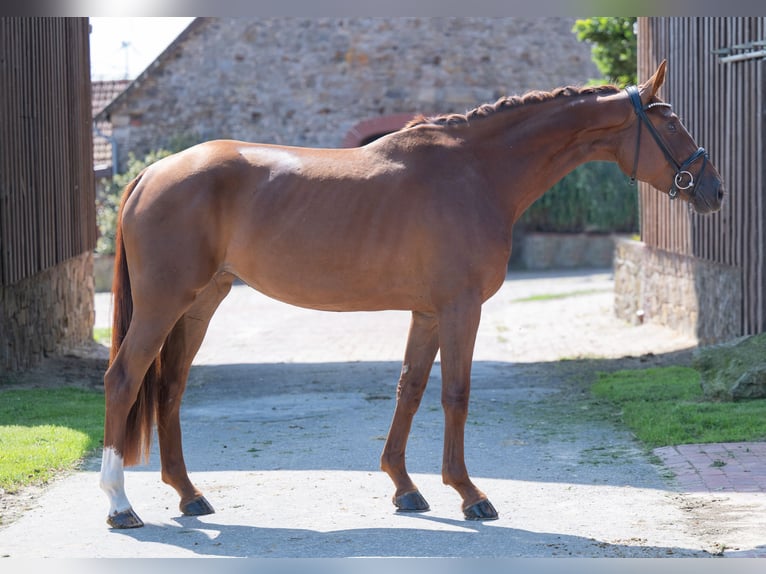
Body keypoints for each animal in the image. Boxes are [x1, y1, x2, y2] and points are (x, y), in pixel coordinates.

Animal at [100, 60, 725, 528]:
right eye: (672, 125)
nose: (714, 190)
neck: (476, 171)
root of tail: (152, 173)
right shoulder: (460, 308)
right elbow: (455, 394)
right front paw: (470, 494)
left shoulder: (427, 313)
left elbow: (411, 388)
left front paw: (405, 488)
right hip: (163, 305)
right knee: (125, 379)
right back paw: (120, 505)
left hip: (200, 304)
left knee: (170, 388)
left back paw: (189, 495)